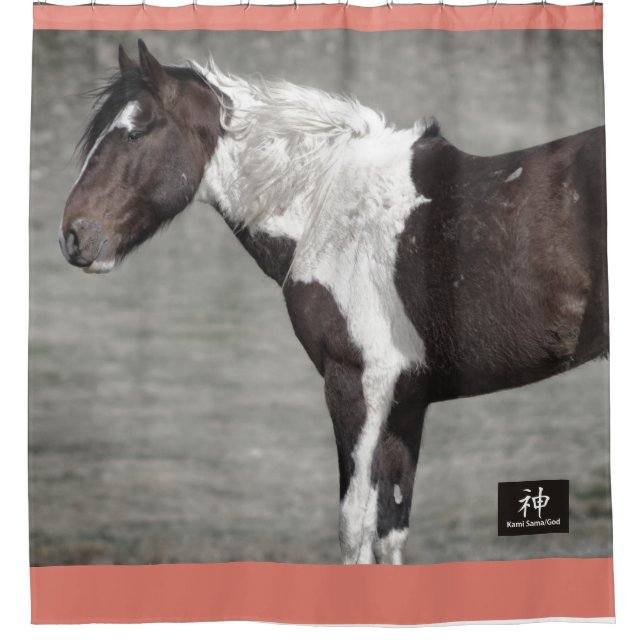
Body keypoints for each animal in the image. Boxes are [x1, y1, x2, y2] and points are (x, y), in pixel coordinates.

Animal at [59, 40, 608, 565]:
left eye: (134, 132)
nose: (74, 236)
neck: (326, 204)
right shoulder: (406, 402)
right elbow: (390, 531)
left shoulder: (355, 384)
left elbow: (354, 528)